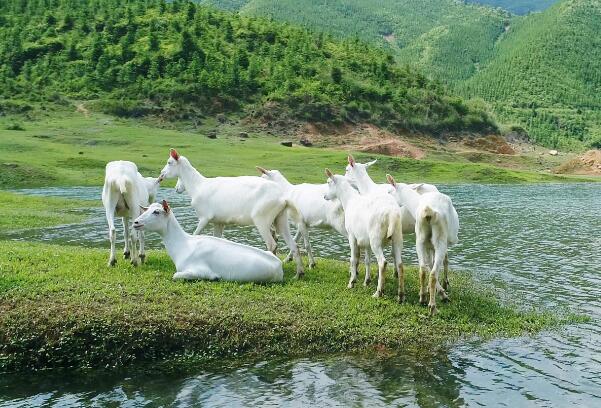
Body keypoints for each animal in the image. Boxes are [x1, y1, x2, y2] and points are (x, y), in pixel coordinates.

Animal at [134, 201, 284, 284]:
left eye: (157, 212)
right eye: (147, 209)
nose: (136, 222)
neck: (183, 244)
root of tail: (279, 266)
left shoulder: (198, 270)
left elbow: (176, 275)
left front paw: (215, 278)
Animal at [158, 149, 304, 278]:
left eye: (169, 162)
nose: (161, 175)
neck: (198, 186)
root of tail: (283, 198)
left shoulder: (204, 217)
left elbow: (195, 234)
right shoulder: (218, 222)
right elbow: (217, 238)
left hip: (262, 219)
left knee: (272, 244)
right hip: (280, 218)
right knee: (294, 245)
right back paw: (299, 274)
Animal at [324, 168, 404, 300]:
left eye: (329, 182)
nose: (324, 196)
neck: (349, 200)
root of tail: (392, 213)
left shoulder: (352, 236)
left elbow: (353, 258)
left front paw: (352, 282)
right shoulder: (366, 242)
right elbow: (367, 260)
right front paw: (366, 281)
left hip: (375, 239)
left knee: (383, 262)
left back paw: (378, 292)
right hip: (397, 237)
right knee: (400, 265)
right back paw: (400, 295)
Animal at [386, 174, 458, 314]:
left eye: (389, 192)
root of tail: (428, 212)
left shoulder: (427, 244)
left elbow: (428, 264)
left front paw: (434, 291)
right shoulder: (434, 245)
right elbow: (438, 263)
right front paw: (442, 291)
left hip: (419, 239)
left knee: (422, 269)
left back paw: (423, 298)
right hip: (440, 239)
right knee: (433, 272)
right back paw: (433, 306)